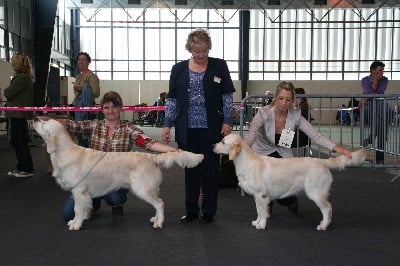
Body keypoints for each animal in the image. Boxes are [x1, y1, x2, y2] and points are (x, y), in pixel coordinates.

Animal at [32, 118, 205, 231]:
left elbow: (77, 209)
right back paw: (155, 219)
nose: (34, 117)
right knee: (157, 204)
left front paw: (76, 224)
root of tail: (151, 157)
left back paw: (159, 223)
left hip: (142, 188)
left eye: (43, 123)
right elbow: (79, 209)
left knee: (160, 203)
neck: (63, 152)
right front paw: (76, 221)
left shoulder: (79, 191)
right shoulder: (79, 193)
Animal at [214, 134, 368, 230]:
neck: (246, 161)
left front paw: (262, 225)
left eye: (223, 142)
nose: (212, 146)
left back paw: (323, 225)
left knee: (328, 208)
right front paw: (256, 222)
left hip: (315, 193)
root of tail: (321, 161)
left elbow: (263, 212)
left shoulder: (261, 195)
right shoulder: (257, 197)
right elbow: (259, 211)